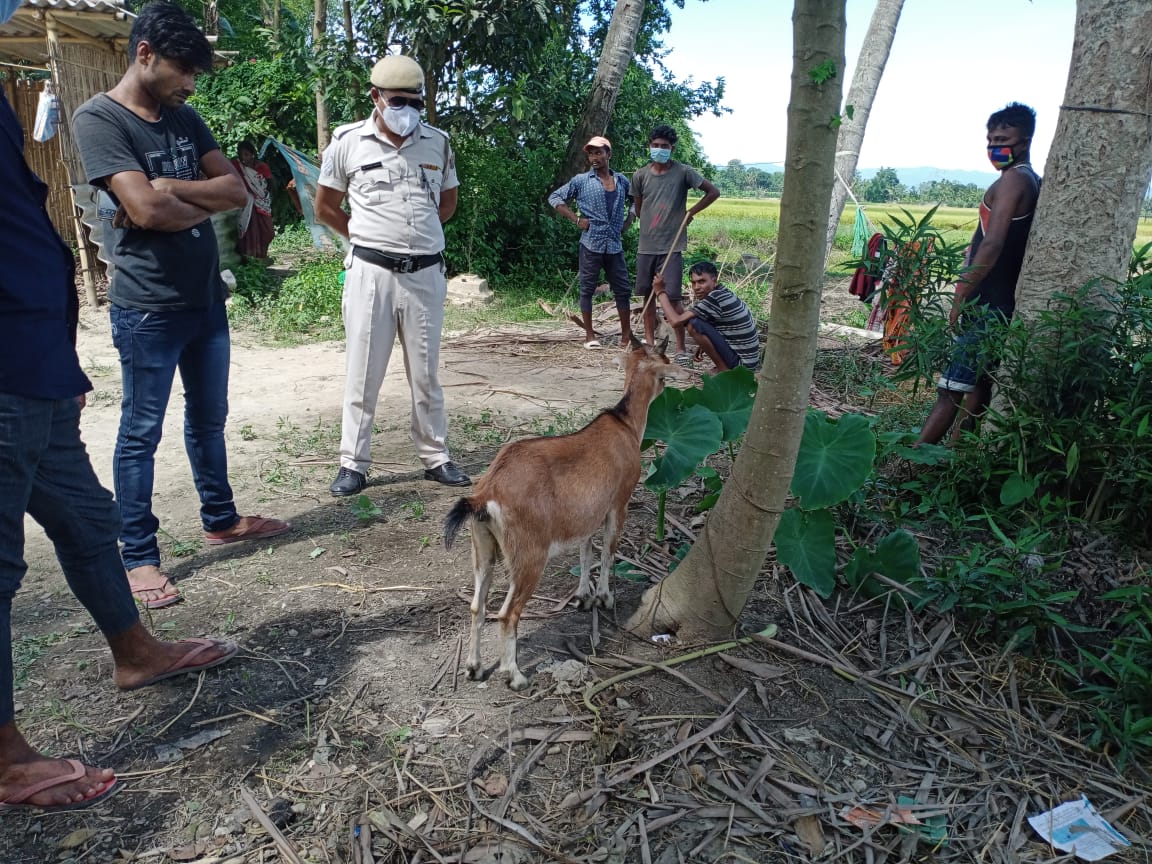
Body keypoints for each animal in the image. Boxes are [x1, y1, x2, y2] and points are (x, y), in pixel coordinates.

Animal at [442, 336, 672, 691]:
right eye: (663, 370)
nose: (669, 383)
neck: (626, 425)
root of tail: (487, 493)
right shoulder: (618, 502)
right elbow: (608, 551)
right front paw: (604, 597)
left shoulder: (587, 514)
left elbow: (585, 550)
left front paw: (583, 597)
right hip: (529, 553)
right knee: (507, 614)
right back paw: (515, 676)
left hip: (481, 546)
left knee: (477, 606)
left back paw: (474, 667)